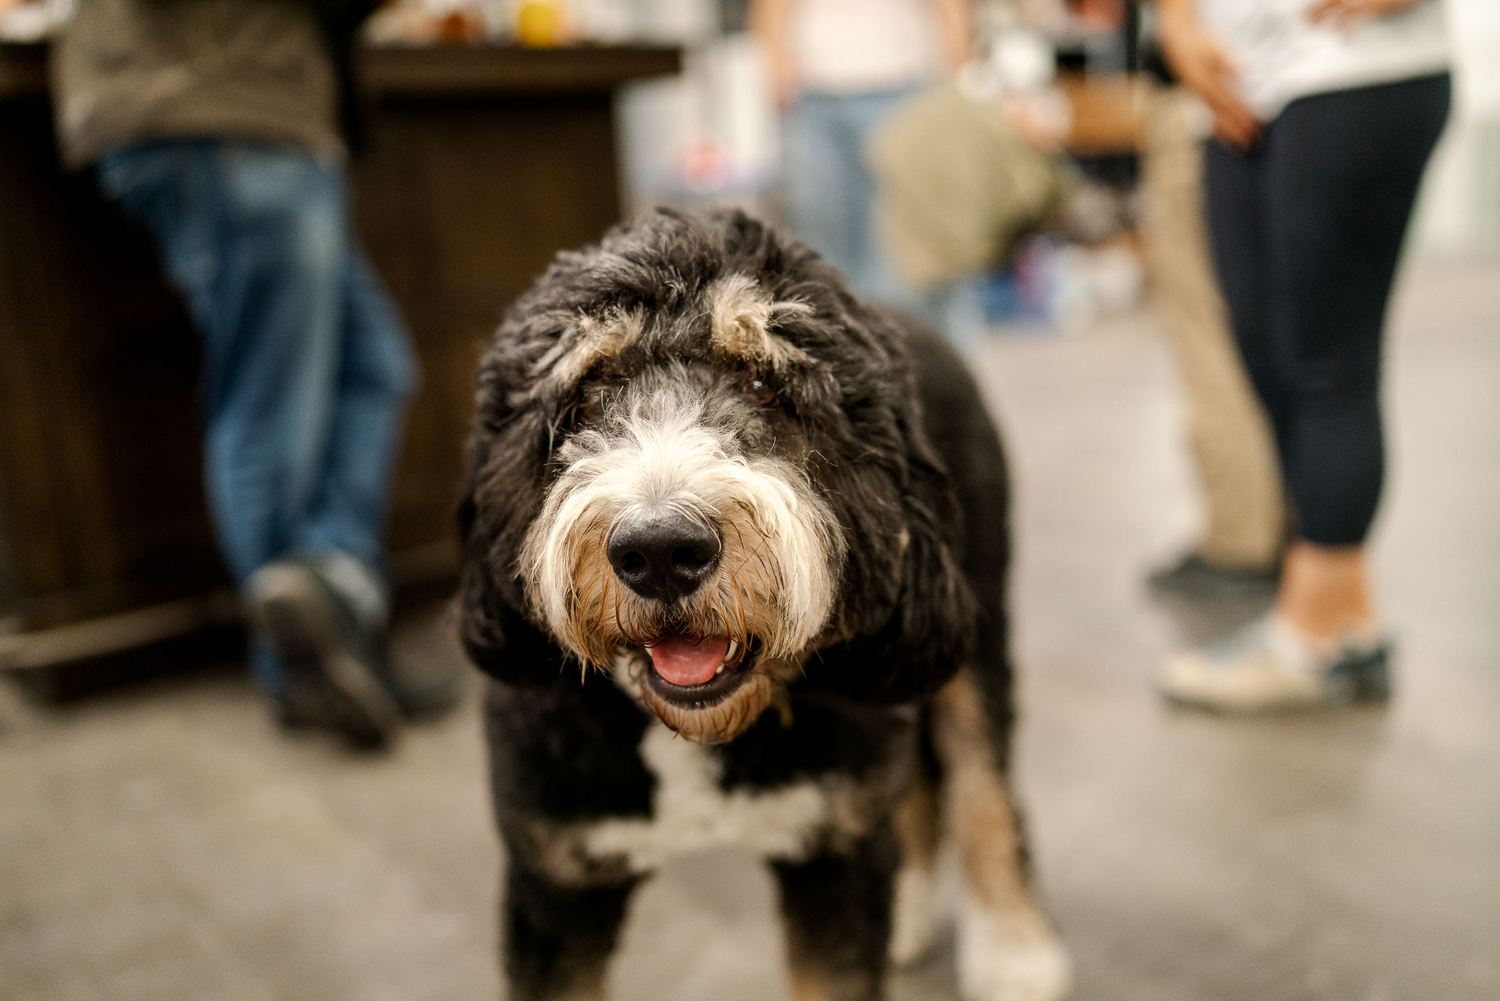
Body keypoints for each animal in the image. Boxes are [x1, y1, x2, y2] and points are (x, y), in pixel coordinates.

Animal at [458, 209, 1070, 1001]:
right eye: (586, 393)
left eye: (763, 380)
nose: (661, 551)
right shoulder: (555, 881)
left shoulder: (833, 856)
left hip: (971, 624)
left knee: (982, 779)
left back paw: (1014, 946)